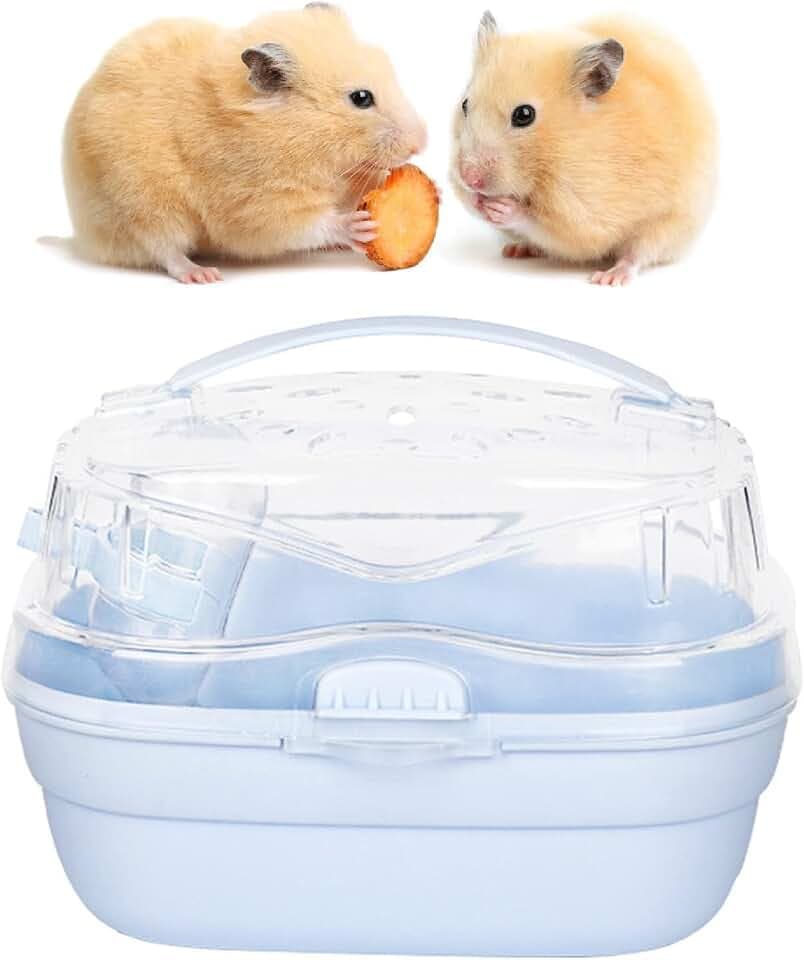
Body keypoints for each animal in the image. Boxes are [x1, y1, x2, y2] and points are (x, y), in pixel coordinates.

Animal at [63, 4, 426, 283]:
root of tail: (82, 237)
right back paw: (201, 274)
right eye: (361, 98)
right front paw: (357, 225)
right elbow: (306, 224)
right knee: (163, 248)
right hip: (142, 205)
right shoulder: (254, 204)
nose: (421, 143)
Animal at [451, 12, 718, 285]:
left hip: (669, 223)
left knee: (639, 253)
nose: (469, 178)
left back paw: (609, 277)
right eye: (465, 104)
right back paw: (516, 249)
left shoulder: (586, 212)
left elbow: (551, 226)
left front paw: (503, 208)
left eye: (524, 115)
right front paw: (476, 200)